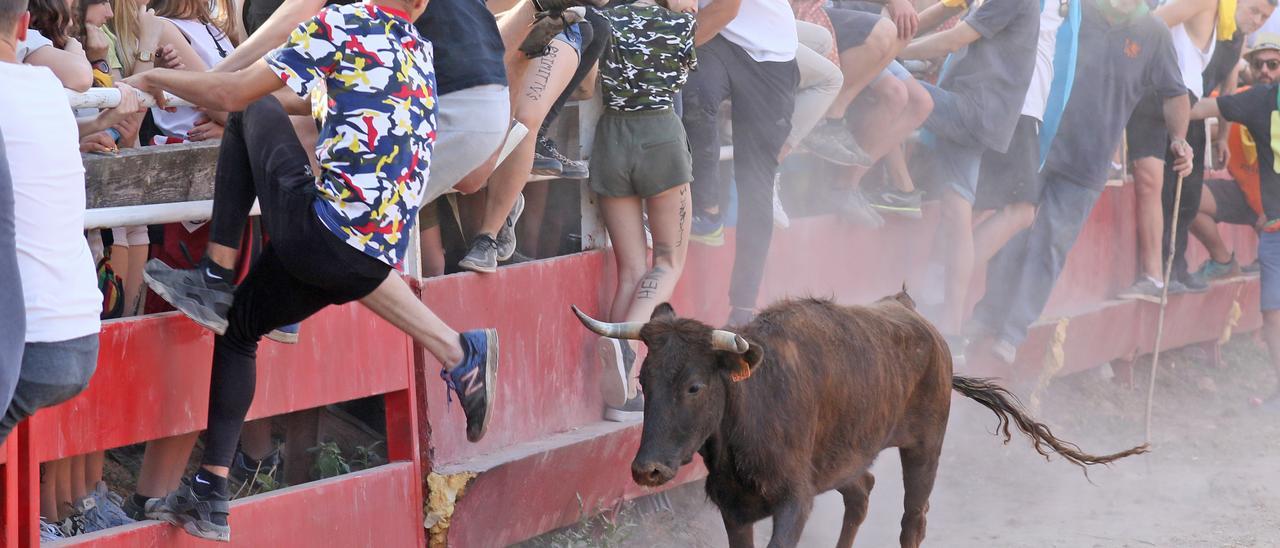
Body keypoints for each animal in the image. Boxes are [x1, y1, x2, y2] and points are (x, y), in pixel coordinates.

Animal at [573, 295, 1152, 548]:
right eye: (644, 381)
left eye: (695, 386)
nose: (647, 470)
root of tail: (914, 315)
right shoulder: (735, 509)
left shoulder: (793, 503)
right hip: (845, 458)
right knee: (862, 491)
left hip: (925, 446)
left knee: (913, 518)